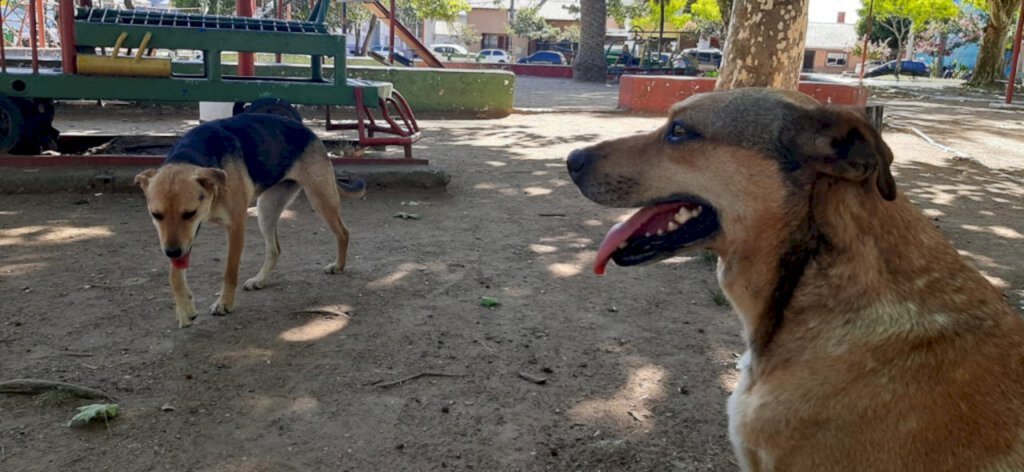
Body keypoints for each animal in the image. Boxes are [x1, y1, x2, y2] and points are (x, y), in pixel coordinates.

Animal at [137, 114, 364, 327]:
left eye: (189, 213)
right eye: (156, 215)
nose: (171, 252)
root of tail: (309, 132)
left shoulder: (235, 226)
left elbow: (229, 271)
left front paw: (225, 303)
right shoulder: (186, 236)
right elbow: (174, 274)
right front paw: (184, 308)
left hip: (320, 198)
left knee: (343, 232)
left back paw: (338, 265)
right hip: (266, 209)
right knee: (275, 249)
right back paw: (260, 280)